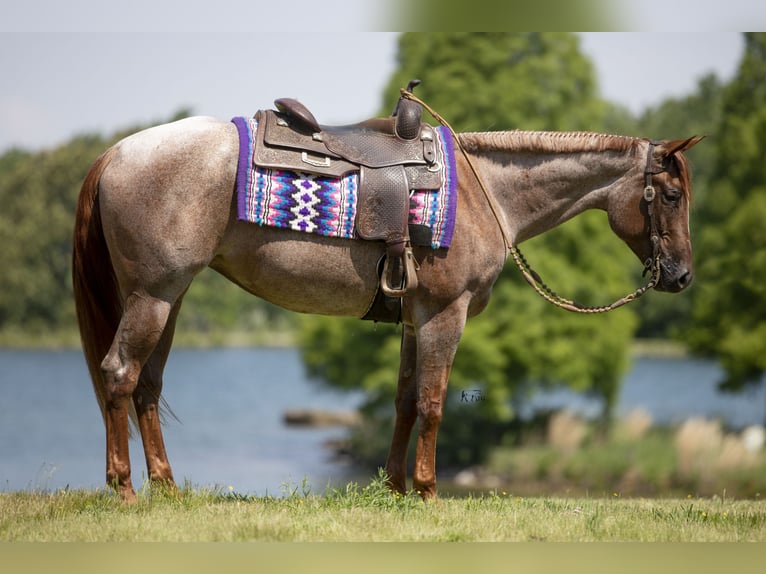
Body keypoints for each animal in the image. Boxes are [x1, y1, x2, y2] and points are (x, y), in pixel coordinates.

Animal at [70, 104, 704, 504]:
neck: (487, 194)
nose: (681, 276)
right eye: (672, 195)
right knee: (119, 374)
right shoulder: (446, 314)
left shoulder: (413, 320)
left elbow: (403, 401)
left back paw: (168, 487)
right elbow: (433, 402)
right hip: (153, 297)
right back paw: (124, 488)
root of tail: (118, 151)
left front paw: (396, 488)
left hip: (168, 299)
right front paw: (427, 491)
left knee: (148, 385)